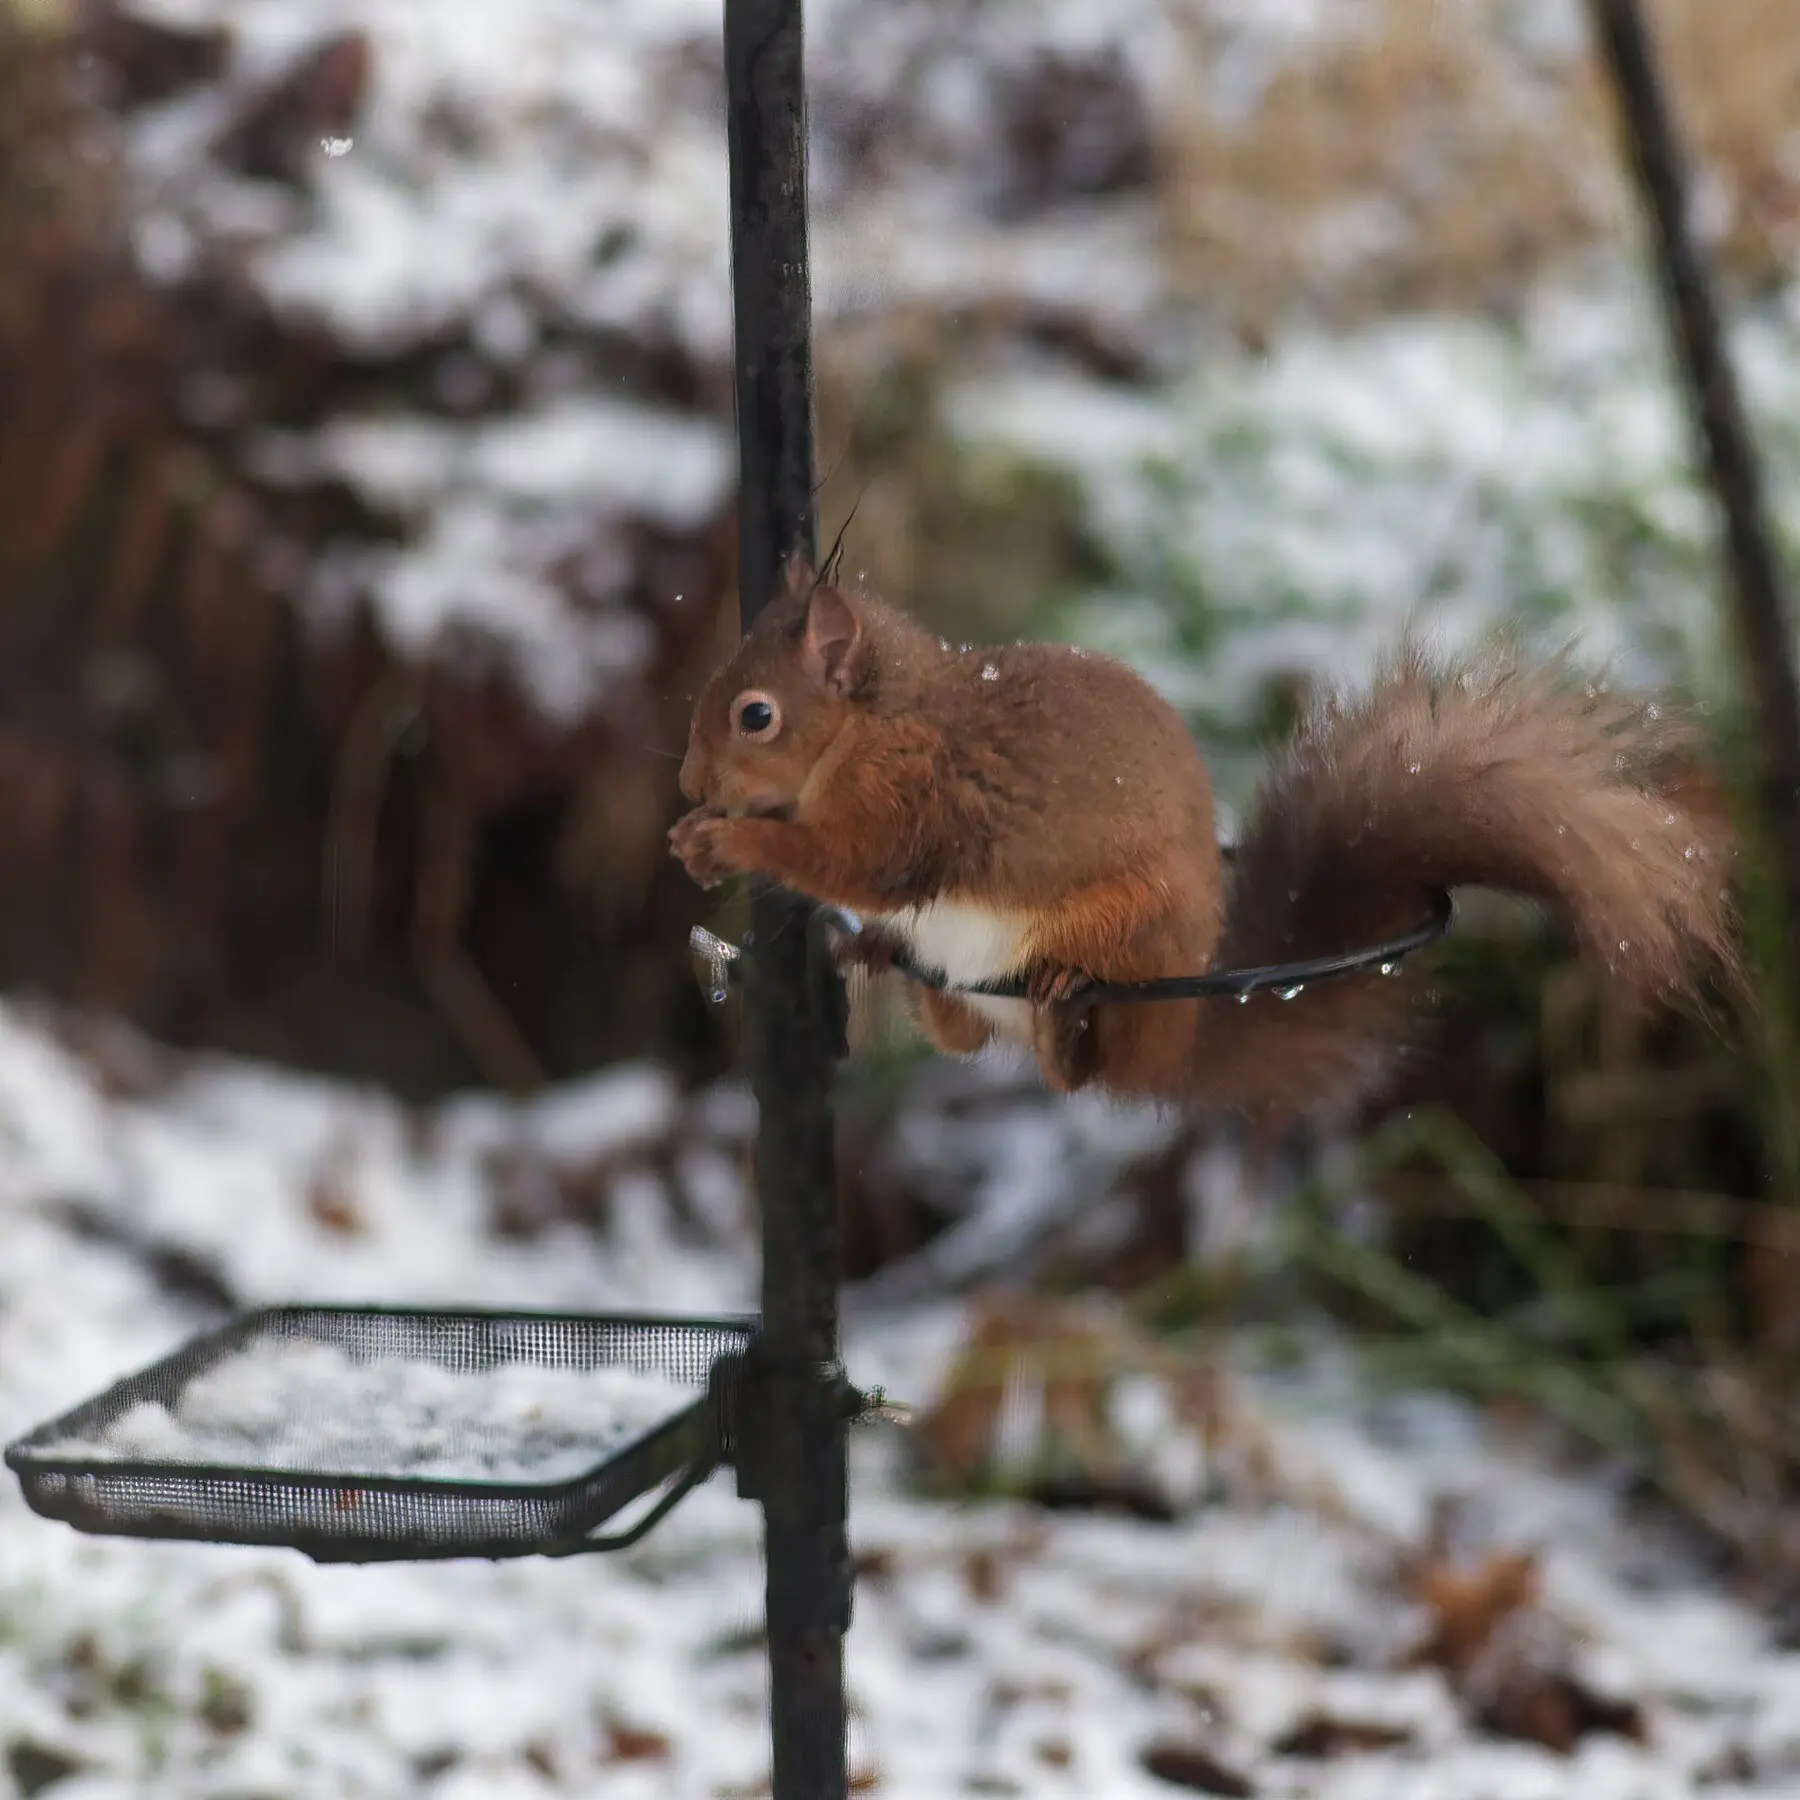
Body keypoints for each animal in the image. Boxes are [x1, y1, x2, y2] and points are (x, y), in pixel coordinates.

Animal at [669, 561, 1739, 1130]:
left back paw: (1060, 999)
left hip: (1123, 932)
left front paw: (731, 843)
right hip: (971, 980)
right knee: (965, 1034)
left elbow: (851, 862)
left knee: (1079, 1070)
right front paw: (698, 838)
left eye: (756, 715)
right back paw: (880, 954)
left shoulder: (909, 800)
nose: (688, 784)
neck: (877, 722)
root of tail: (1178, 1035)